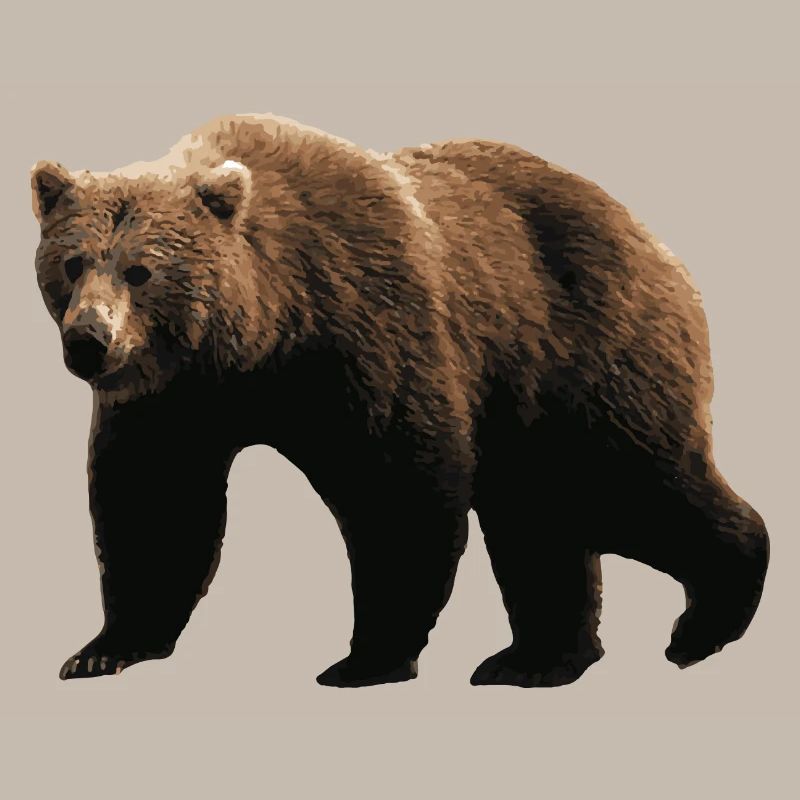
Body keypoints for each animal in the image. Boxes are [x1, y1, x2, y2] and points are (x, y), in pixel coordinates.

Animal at [31, 113, 769, 687]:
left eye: (141, 270)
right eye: (73, 262)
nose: (89, 341)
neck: (260, 337)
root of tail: (652, 238)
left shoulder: (364, 324)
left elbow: (398, 485)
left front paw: (365, 658)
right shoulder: (175, 399)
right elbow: (154, 504)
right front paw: (103, 651)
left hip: (583, 350)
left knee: (630, 481)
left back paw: (703, 623)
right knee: (539, 514)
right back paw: (536, 658)